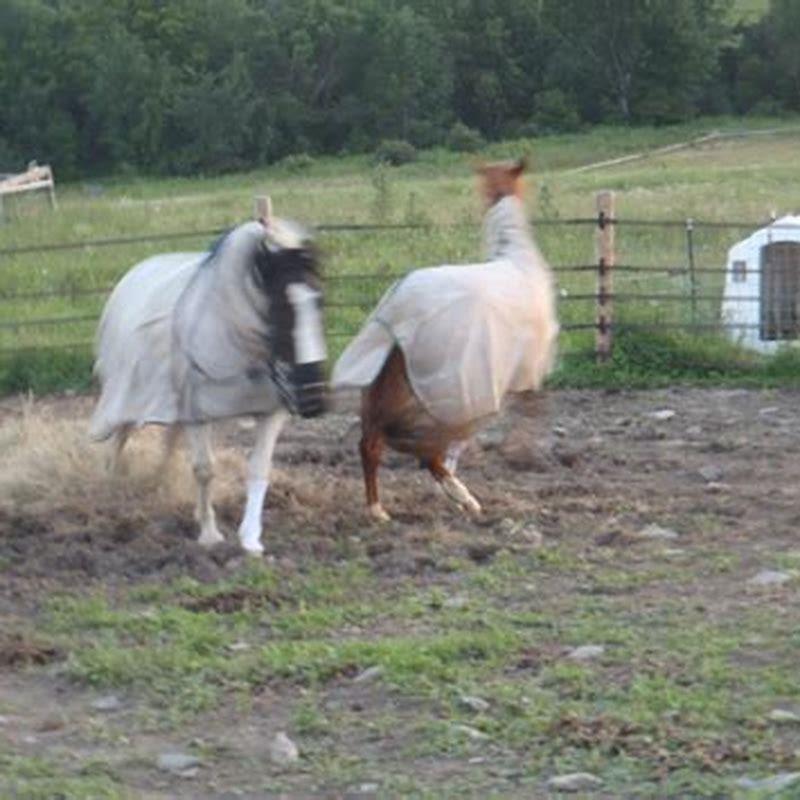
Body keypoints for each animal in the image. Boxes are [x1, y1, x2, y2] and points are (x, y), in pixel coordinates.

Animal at [90, 211, 327, 554]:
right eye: (279, 307)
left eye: (319, 301)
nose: (313, 399)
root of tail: (133, 274)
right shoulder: (196, 414)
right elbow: (205, 470)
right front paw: (209, 534)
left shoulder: (270, 412)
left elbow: (258, 469)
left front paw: (250, 538)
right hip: (131, 394)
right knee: (120, 434)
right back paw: (110, 481)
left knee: (169, 440)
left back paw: (159, 482)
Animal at [332, 158, 558, 521]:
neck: (516, 259)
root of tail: (397, 309)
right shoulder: (524, 376)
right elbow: (528, 415)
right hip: (446, 396)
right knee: (421, 451)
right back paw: (461, 498)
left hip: (384, 388)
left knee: (373, 444)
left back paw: (383, 508)